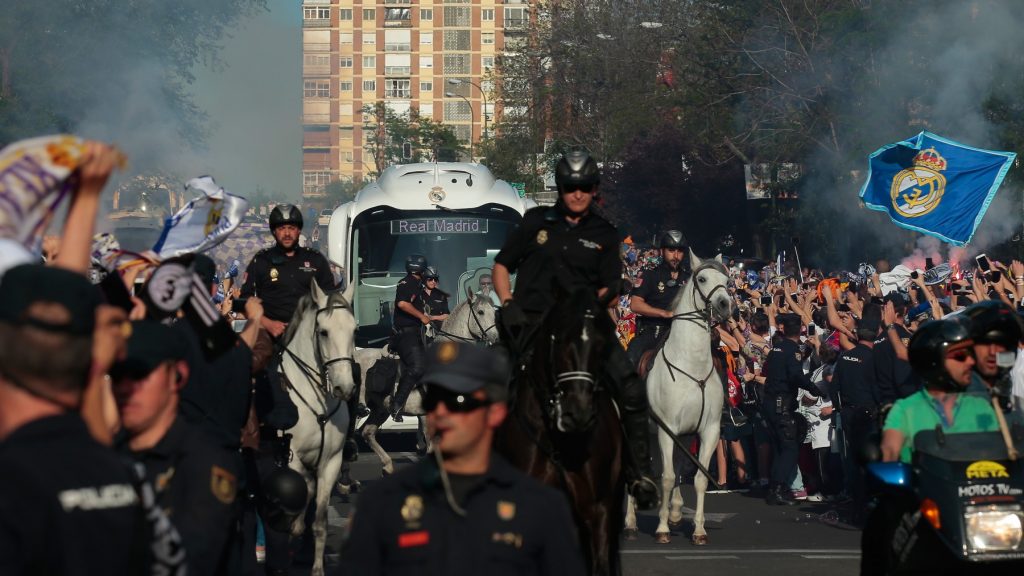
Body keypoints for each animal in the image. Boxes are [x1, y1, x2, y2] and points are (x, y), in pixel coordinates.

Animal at [278, 278, 358, 573]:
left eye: (355, 330)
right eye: (323, 332)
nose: (344, 388)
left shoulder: (331, 462)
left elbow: (320, 520)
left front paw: (317, 567)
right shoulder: (292, 459)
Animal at [362, 289, 497, 473]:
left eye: (494, 312)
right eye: (481, 312)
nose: (496, 337)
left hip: (379, 409)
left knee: (367, 433)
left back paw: (387, 466)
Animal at [618, 250, 733, 541]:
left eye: (727, 280)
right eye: (702, 279)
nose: (725, 305)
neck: (691, 364)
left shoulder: (708, 430)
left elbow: (698, 477)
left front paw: (698, 529)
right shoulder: (666, 428)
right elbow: (668, 477)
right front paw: (661, 528)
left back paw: (676, 512)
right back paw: (631, 523)